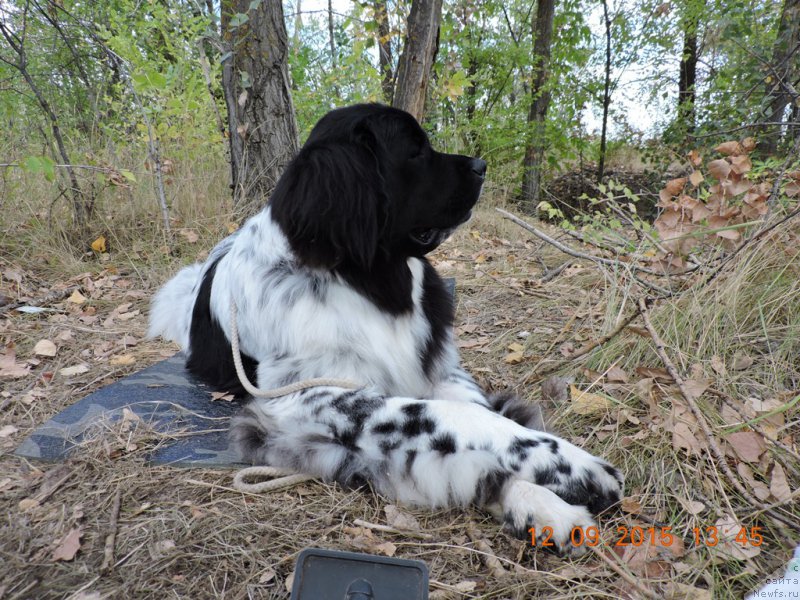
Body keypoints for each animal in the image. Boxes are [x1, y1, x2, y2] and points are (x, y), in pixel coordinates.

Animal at [152, 104, 624, 552]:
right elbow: (452, 416)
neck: (366, 279)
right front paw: (572, 466)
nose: (481, 165)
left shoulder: (442, 370)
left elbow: (479, 416)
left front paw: (540, 500)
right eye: (414, 151)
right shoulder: (304, 396)